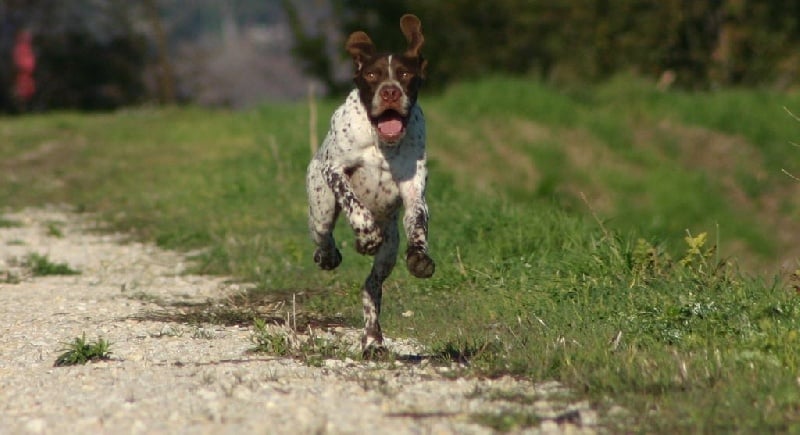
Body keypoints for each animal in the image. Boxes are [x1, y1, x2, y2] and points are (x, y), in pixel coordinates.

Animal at [306, 14, 434, 354]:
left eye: (405, 74)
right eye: (373, 75)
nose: (390, 92)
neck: (382, 141)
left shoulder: (414, 190)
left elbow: (418, 222)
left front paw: (419, 258)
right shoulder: (335, 170)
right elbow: (355, 206)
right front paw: (365, 238)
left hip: (389, 249)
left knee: (371, 287)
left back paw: (374, 339)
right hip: (320, 205)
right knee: (323, 235)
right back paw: (328, 256)